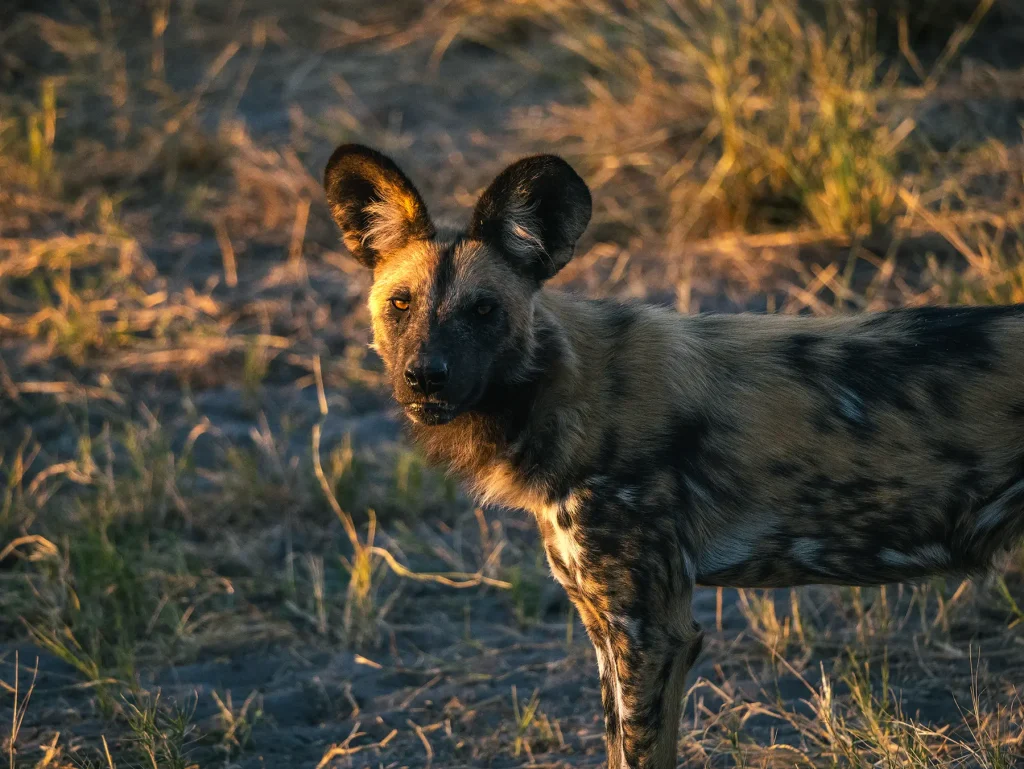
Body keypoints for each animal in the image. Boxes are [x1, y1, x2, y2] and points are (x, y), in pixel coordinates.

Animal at [323, 143, 1024, 765]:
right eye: (401, 304)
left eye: (483, 310)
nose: (426, 377)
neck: (560, 393)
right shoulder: (607, 630)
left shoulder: (654, 636)